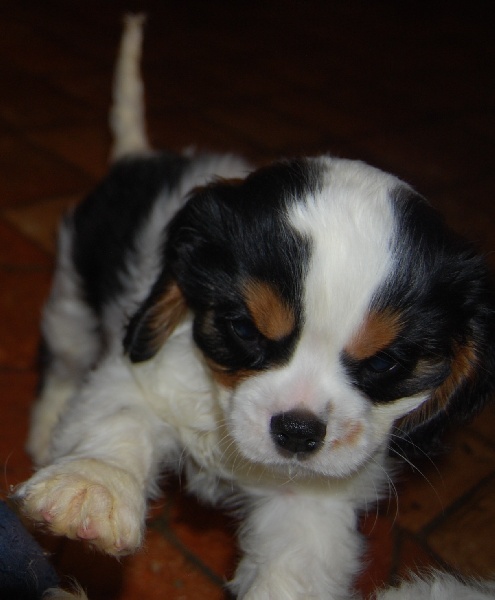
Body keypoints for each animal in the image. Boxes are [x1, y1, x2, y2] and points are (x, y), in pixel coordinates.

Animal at [15, 14, 495, 600]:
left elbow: (294, 566)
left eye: (385, 363)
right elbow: (117, 419)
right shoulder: (142, 370)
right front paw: (92, 488)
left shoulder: (312, 504)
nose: (297, 431)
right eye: (245, 329)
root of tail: (142, 156)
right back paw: (46, 426)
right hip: (71, 297)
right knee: (63, 361)